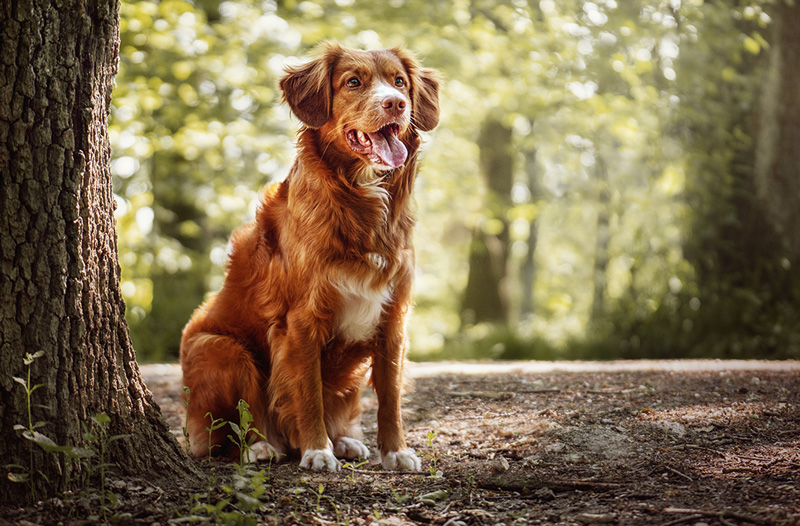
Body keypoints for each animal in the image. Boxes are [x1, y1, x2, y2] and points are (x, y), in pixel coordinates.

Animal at [179, 42, 440, 474]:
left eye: (400, 82)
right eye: (353, 82)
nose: (396, 104)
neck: (361, 201)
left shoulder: (393, 320)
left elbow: (390, 397)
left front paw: (395, 451)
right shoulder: (302, 319)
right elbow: (308, 392)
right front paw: (317, 451)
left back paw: (345, 440)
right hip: (219, 348)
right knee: (230, 432)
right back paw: (263, 447)